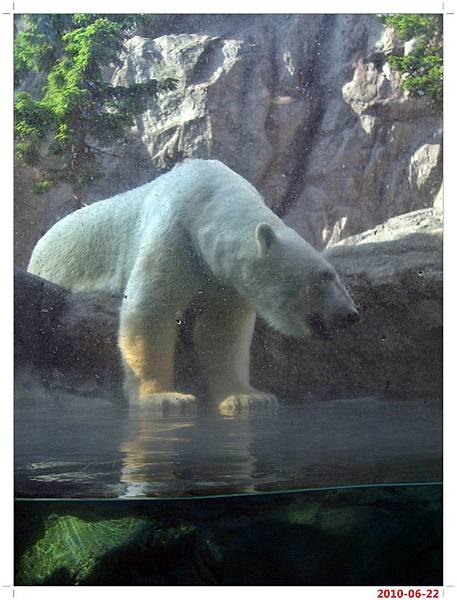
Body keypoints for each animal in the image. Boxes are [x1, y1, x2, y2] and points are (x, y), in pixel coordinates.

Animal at [27, 158, 360, 412]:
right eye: (324, 277)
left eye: (333, 274)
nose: (351, 315)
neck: (209, 200)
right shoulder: (174, 236)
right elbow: (150, 310)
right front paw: (164, 398)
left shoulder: (224, 279)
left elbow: (221, 331)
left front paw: (248, 398)